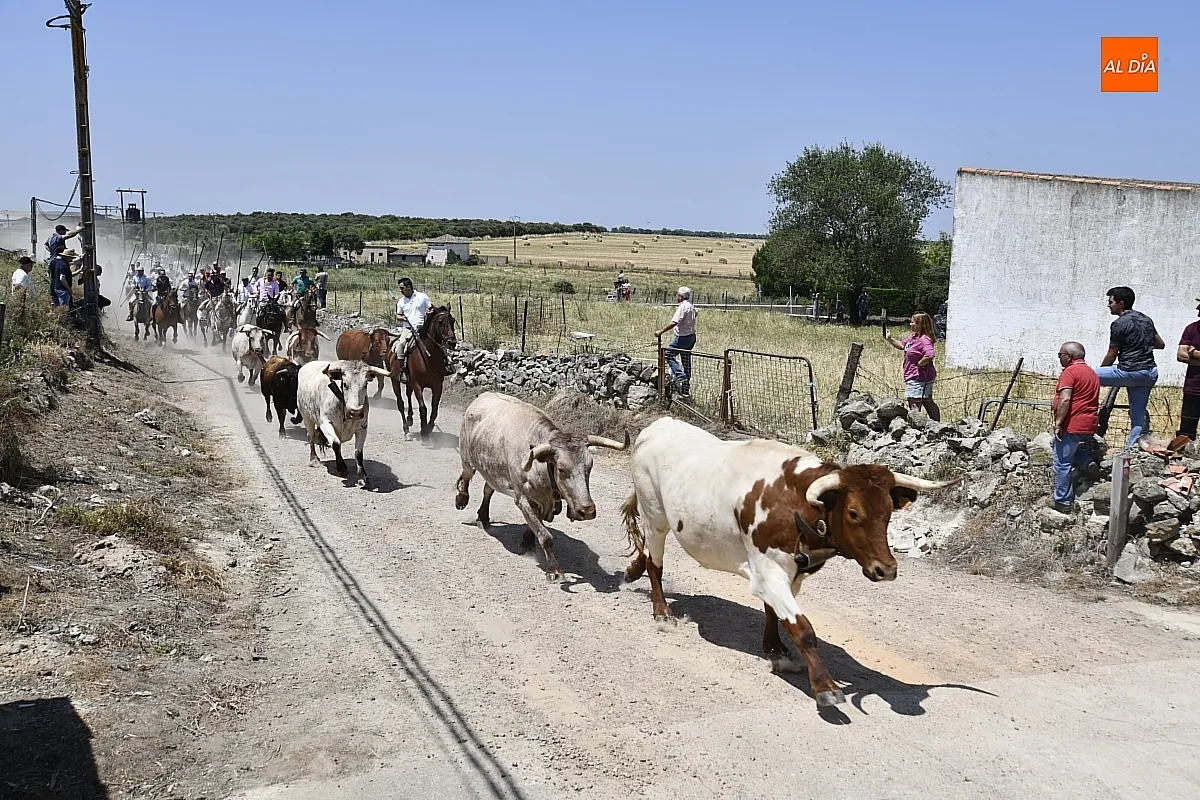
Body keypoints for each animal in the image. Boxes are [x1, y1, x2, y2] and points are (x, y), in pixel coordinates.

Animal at [388, 305, 456, 439]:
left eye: (453, 321)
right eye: (440, 322)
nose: (452, 343)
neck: (428, 356)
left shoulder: (437, 386)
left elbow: (434, 409)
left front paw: (429, 427)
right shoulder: (417, 384)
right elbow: (423, 407)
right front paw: (424, 429)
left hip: (408, 382)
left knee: (408, 396)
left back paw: (410, 419)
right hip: (395, 381)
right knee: (400, 403)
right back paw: (406, 430)